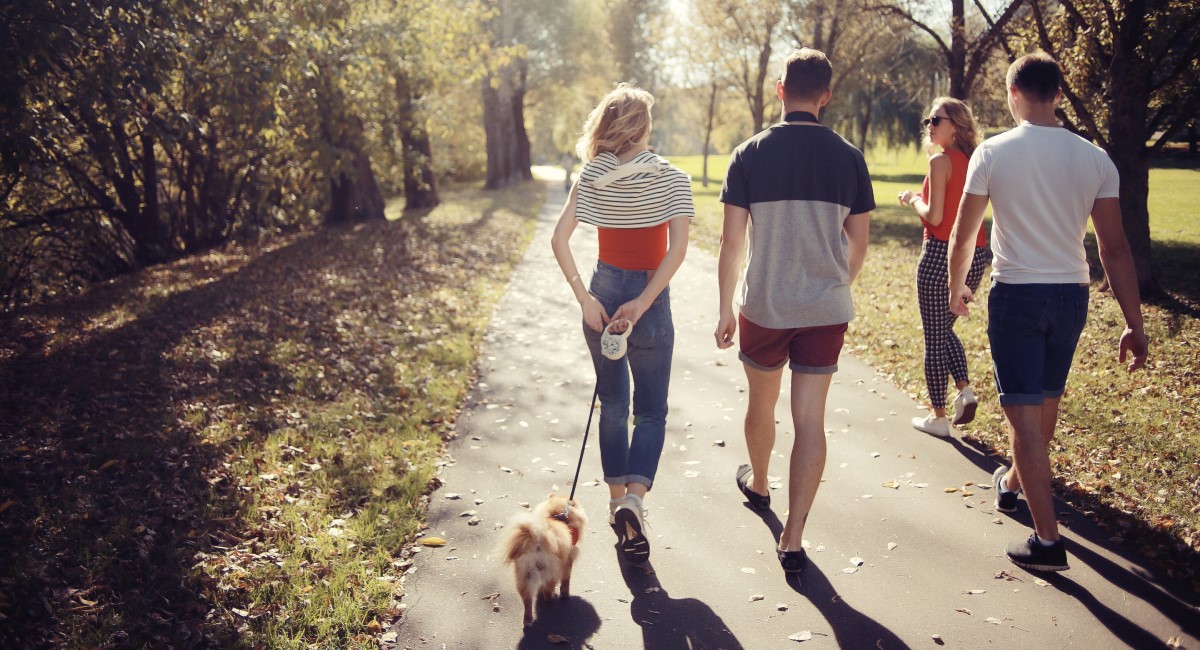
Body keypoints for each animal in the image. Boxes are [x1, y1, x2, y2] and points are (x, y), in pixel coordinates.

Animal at [499, 496, 588, 628]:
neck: (557, 516)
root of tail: (538, 540)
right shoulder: (568, 560)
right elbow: (566, 580)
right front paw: (565, 594)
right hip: (552, 571)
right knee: (547, 591)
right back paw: (552, 598)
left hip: (524, 575)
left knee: (527, 600)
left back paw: (528, 620)